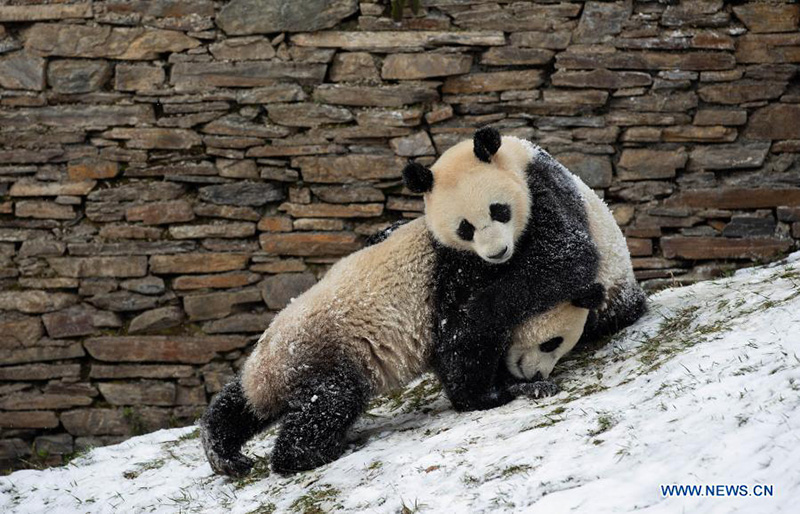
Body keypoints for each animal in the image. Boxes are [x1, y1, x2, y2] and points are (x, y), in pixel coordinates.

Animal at [200, 127, 644, 476]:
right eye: (466, 228)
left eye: (499, 211)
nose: (536, 374)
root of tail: (268, 378)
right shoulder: (461, 274)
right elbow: (466, 343)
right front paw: (504, 392)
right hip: (322, 352)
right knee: (327, 402)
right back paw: (313, 452)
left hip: (275, 361)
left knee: (242, 404)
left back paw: (223, 451)